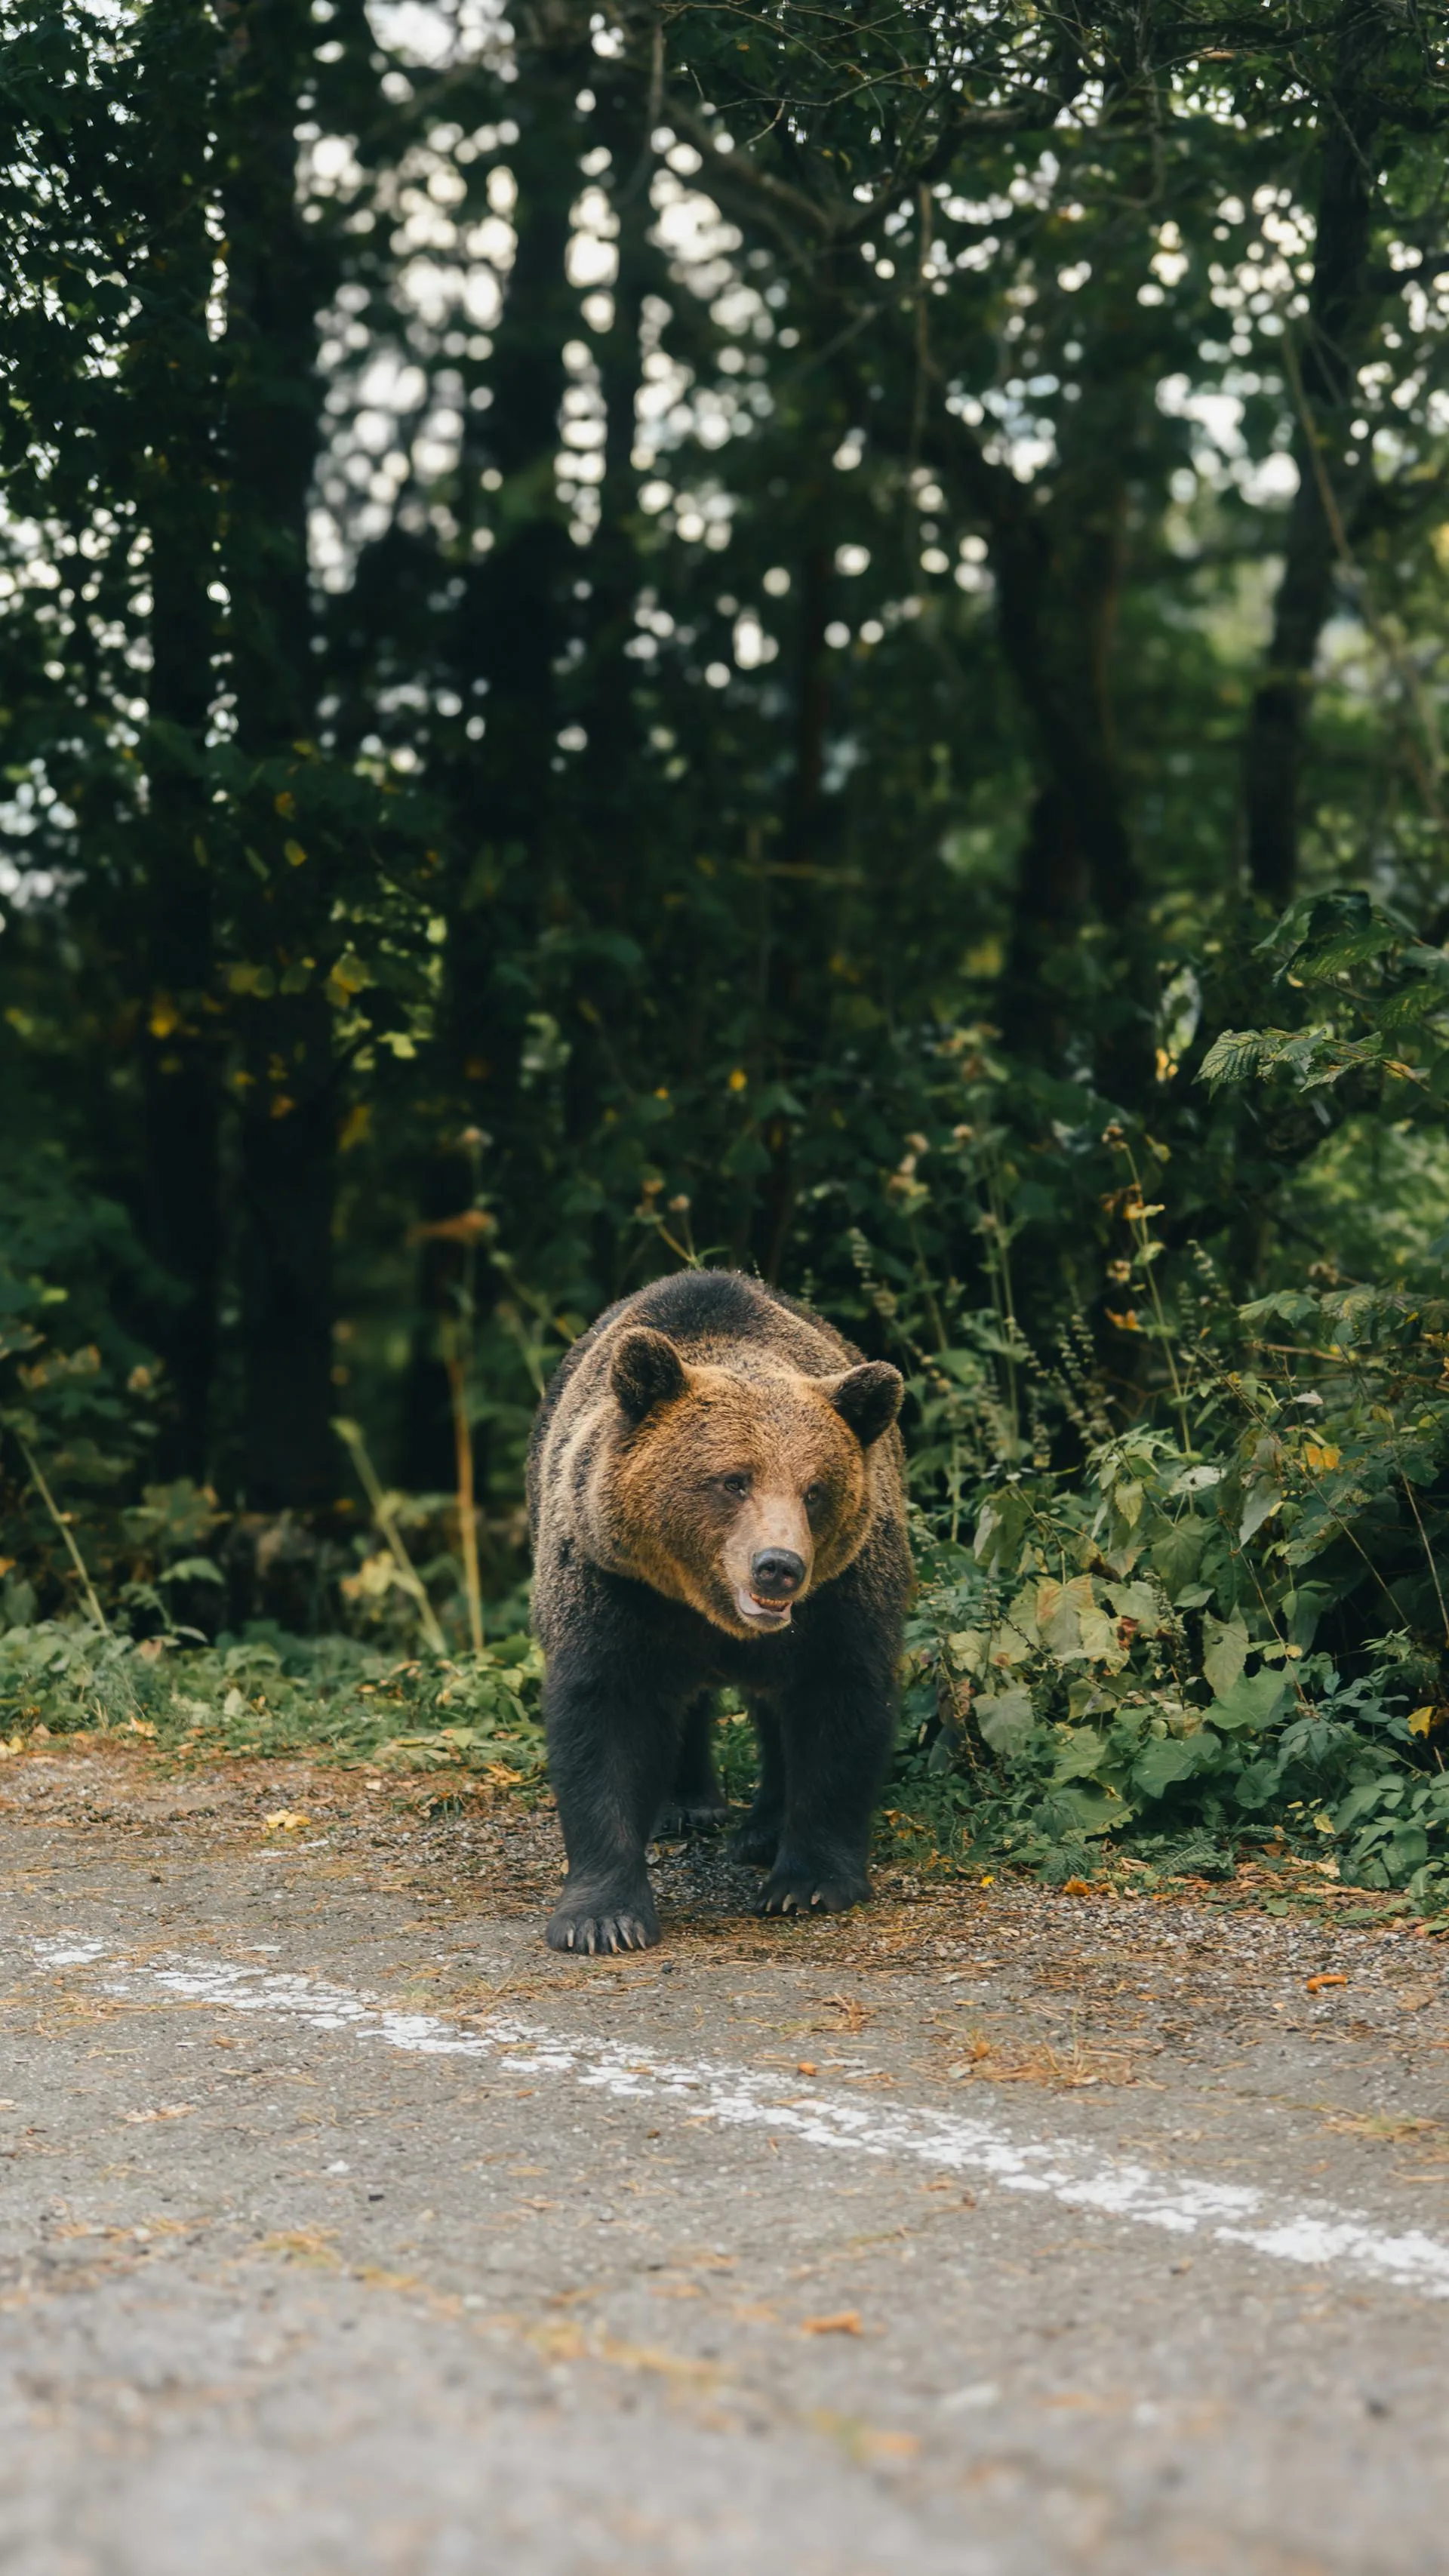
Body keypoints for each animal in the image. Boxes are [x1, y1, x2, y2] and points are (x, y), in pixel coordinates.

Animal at [527, 1268, 910, 1955]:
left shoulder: (841, 1599)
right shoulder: (613, 1587)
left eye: (815, 1490)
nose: (779, 1565)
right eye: (734, 1480)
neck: (706, 1605)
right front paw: (602, 1919)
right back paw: (687, 1804)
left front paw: (808, 1883)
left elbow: (839, 1710)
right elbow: (605, 1720)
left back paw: (761, 1830)